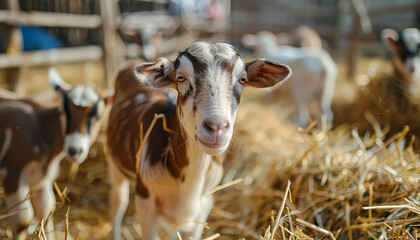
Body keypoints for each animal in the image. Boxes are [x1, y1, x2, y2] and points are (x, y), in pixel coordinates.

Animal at [0, 68, 110, 239]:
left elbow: (46, 210)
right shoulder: (12, 173)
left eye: (96, 116)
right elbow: (22, 221)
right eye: (64, 111)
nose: (74, 150)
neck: (41, 127)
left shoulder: (41, 180)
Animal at [105, 42, 290, 239]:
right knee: (119, 200)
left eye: (242, 79)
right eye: (180, 77)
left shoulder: (205, 203)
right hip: (114, 163)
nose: (216, 127)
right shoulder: (144, 197)